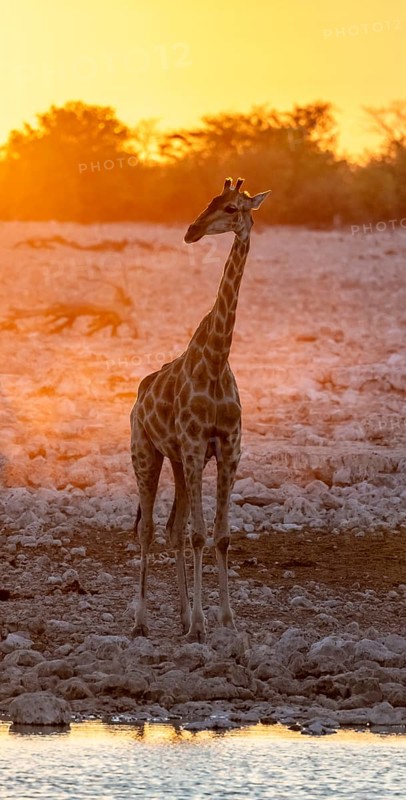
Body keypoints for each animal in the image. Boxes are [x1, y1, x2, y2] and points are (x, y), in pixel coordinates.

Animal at [130, 177, 271, 642]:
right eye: (208, 201)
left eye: (231, 207)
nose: (191, 230)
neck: (214, 359)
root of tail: (138, 398)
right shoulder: (194, 446)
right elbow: (199, 535)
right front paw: (200, 626)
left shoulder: (228, 448)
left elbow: (220, 536)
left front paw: (224, 619)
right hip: (145, 454)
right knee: (148, 531)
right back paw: (141, 621)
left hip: (175, 461)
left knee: (171, 530)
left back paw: (180, 614)